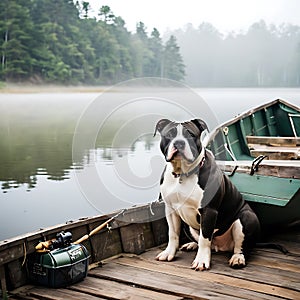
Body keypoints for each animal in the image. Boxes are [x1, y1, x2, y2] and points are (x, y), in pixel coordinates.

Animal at [155, 118, 260, 270]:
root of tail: (221, 247)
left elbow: (205, 238)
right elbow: (173, 234)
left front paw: (201, 261)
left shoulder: (208, 211)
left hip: (246, 217)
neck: (183, 173)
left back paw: (237, 258)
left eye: (190, 134)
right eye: (169, 135)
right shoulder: (170, 209)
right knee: (198, 239)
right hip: (188, 226)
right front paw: (169, 253)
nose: (179, 143)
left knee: (241, 245)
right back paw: (191, 245)